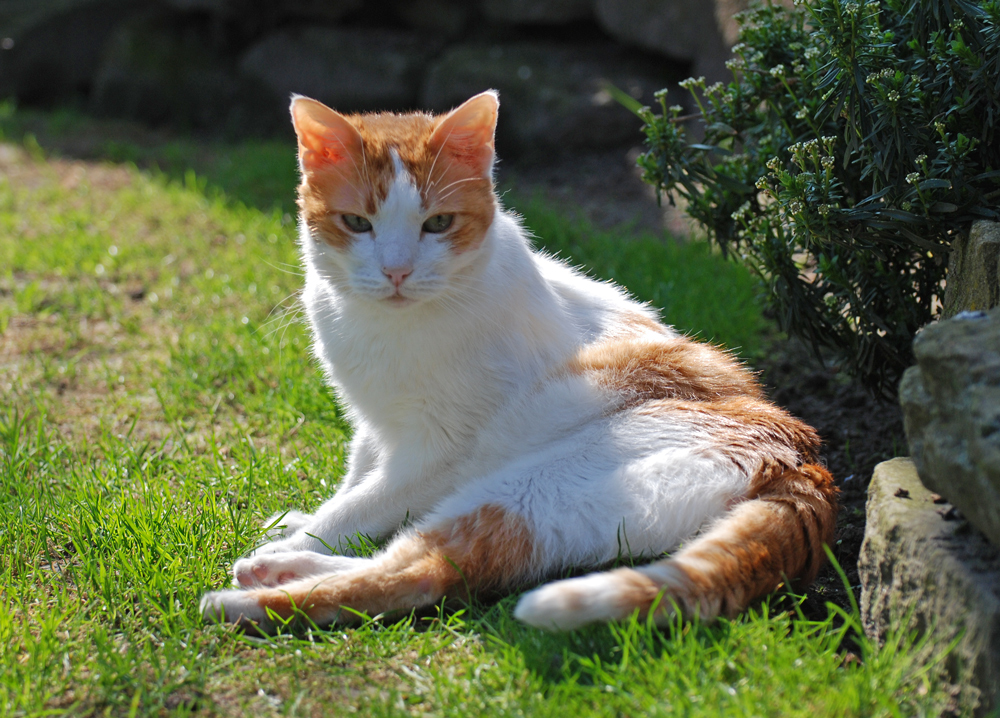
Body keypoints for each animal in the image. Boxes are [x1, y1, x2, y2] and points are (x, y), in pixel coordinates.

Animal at [195, 91, 836, 636]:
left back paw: (250, 595)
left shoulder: (435, 451)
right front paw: (303, 525)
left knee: (420, 571)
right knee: (434, 565)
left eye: (438, 224)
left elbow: (362, 504)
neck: (388, 326)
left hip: (525, 486)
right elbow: (357, 477)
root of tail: (800, 455)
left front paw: (309, 533)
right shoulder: (374, 427)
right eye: (357, 223)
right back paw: (280, 570)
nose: (397, 271)